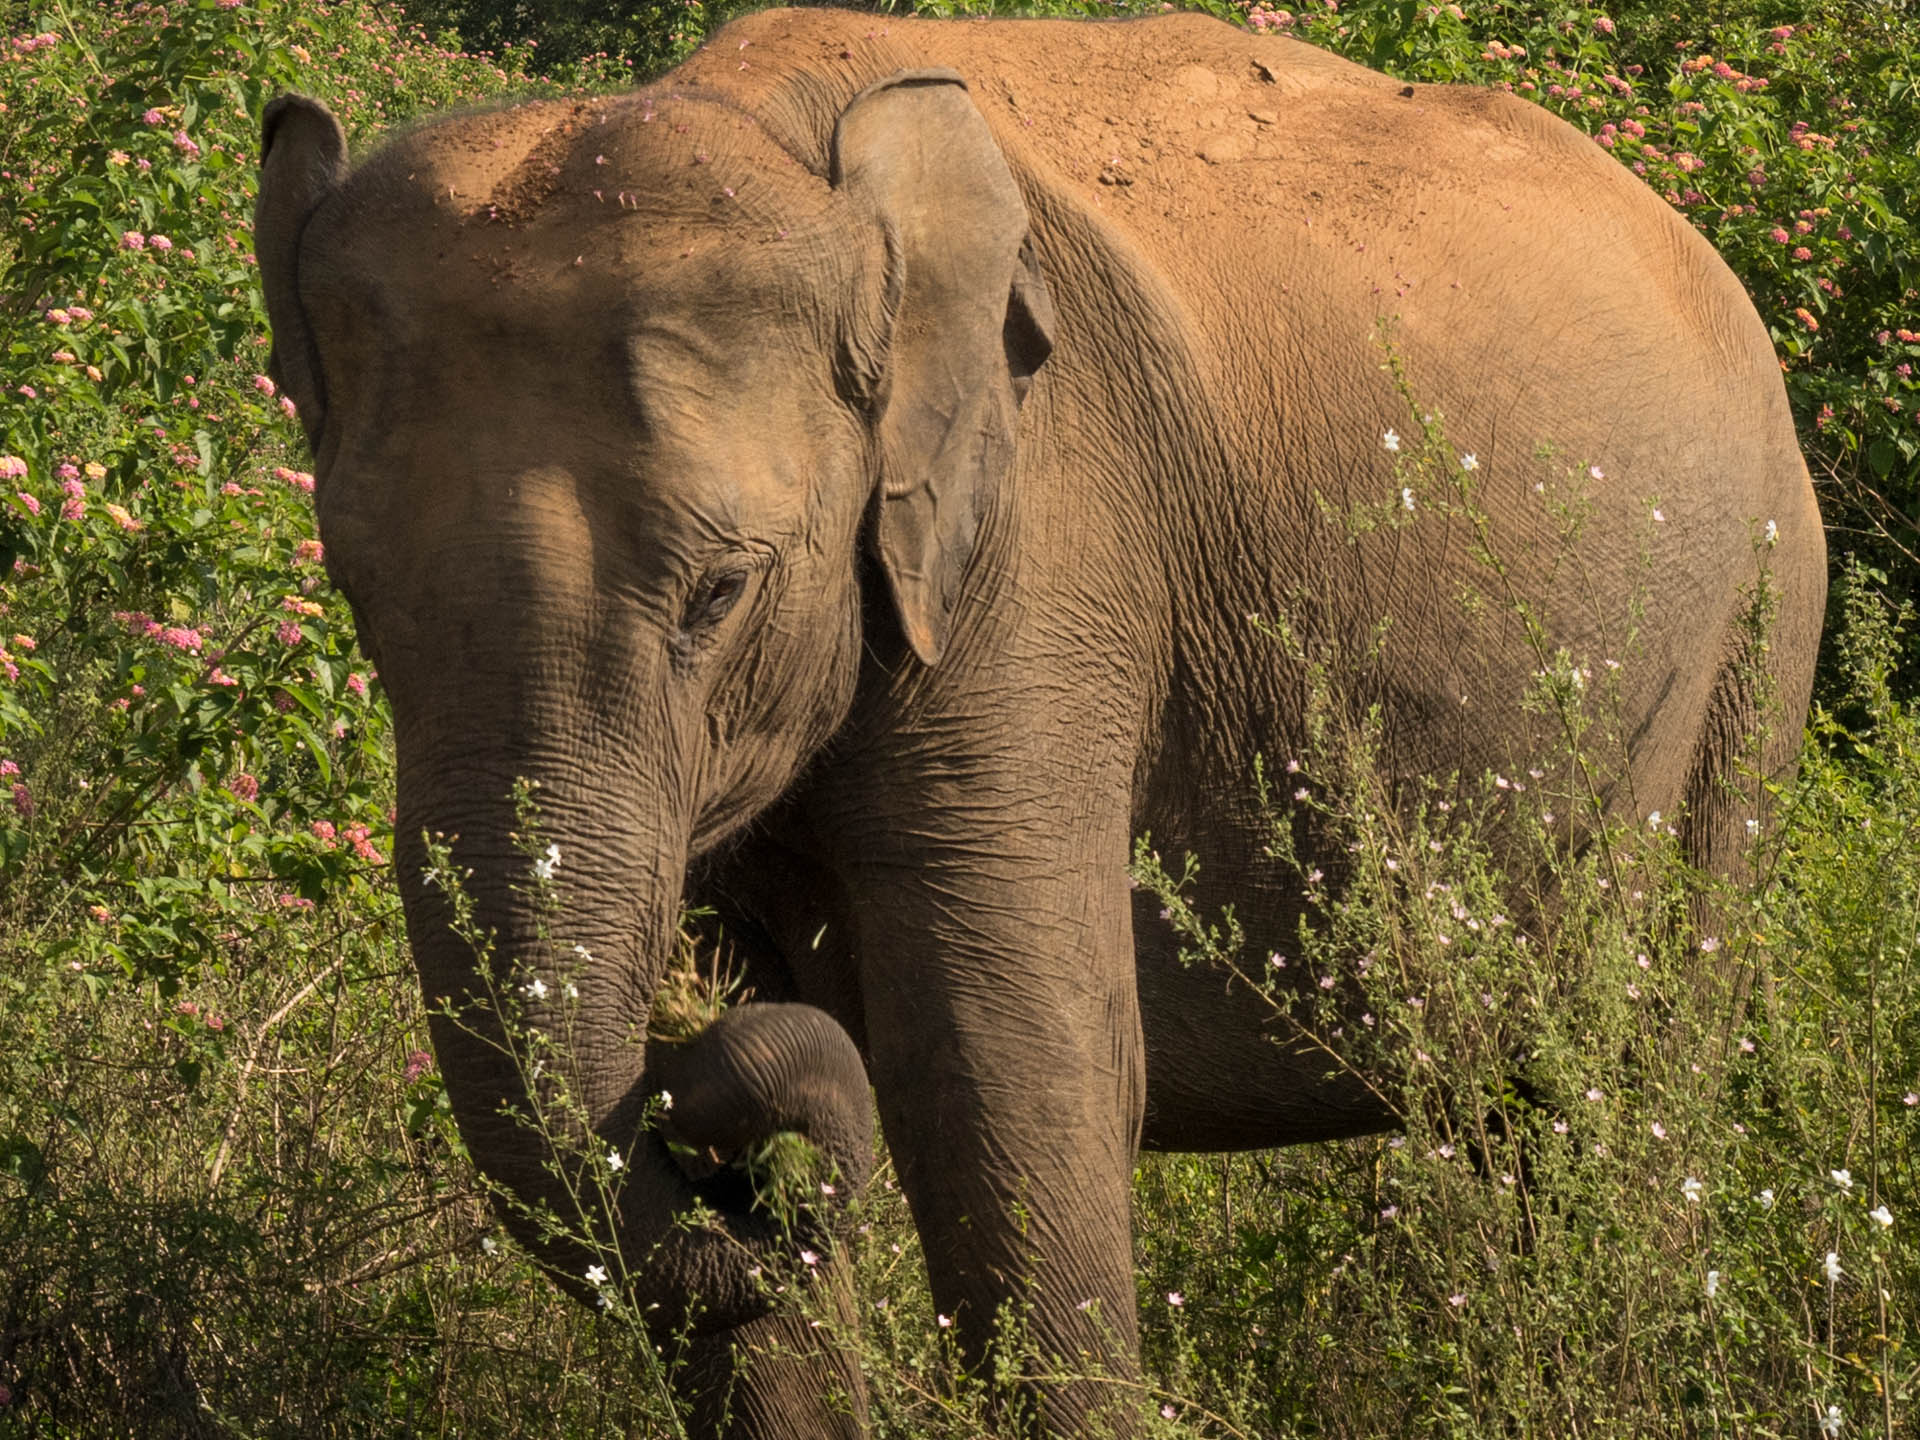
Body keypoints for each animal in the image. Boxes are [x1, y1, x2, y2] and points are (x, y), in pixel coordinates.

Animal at [255, 5, 1827, 1436]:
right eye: (353, 591)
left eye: (720, 591)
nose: (714, 1133)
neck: (805, 151)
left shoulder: (1046, 541)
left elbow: (1005, 1068)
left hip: (1755, 629)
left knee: (1626, 1070)